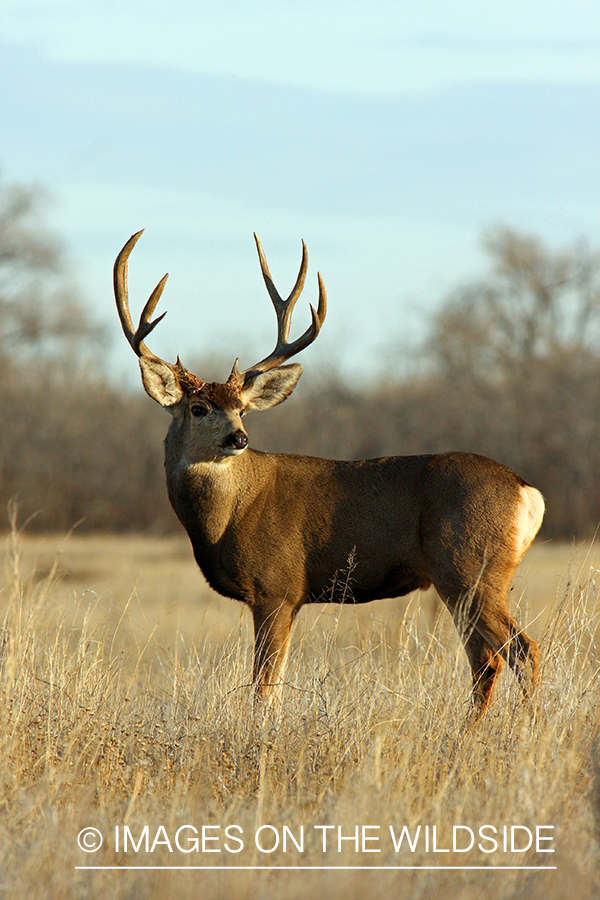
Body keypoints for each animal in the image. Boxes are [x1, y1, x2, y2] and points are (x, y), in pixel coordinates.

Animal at [112, 230, 544, 716]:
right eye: (199, 408)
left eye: (241, 408)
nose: (238, 438)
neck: (228, 517)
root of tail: (527, 492)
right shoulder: (288, 597)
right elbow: (272, 684)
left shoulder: (277, 586)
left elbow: (264, 689)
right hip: (462, 580)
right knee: (486, 661)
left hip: (471, 566)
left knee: (522, 651)